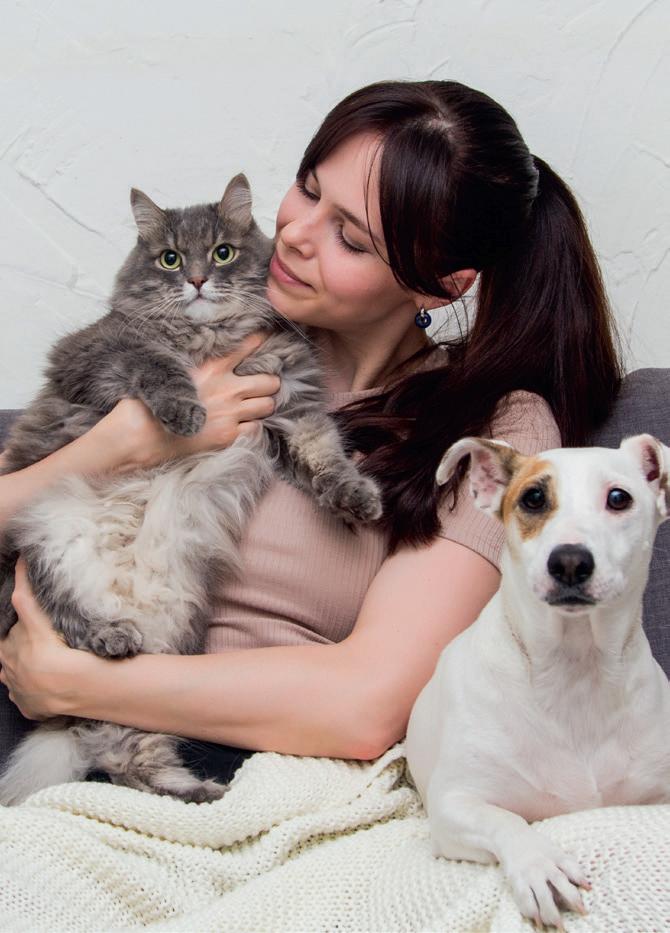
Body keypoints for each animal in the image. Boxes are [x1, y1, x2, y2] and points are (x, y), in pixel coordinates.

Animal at [405, 434, 670, 929]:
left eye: (619, 498)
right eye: (532, 498)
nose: (569, 561)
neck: (575, 669)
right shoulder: (454, 806)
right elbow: (506, 821)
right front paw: (540, 864)